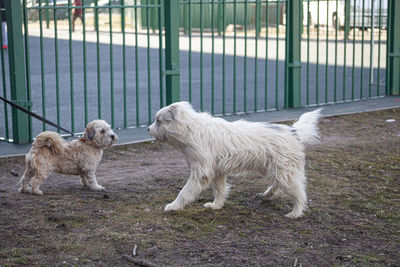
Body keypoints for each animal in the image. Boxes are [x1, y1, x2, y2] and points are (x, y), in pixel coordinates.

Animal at [148, 101, 324, 219]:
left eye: (158, 120)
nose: (148, 129)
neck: (191, 129)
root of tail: (294, 132)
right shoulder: (217, 171)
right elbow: (219, 190)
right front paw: (216, 206)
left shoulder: (201, 172)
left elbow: (185, 191)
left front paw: (173, 206)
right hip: (278, 170)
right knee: (278, 185)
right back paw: (267, 195)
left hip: (285, 171)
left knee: (299, 193)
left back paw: (295, 213)